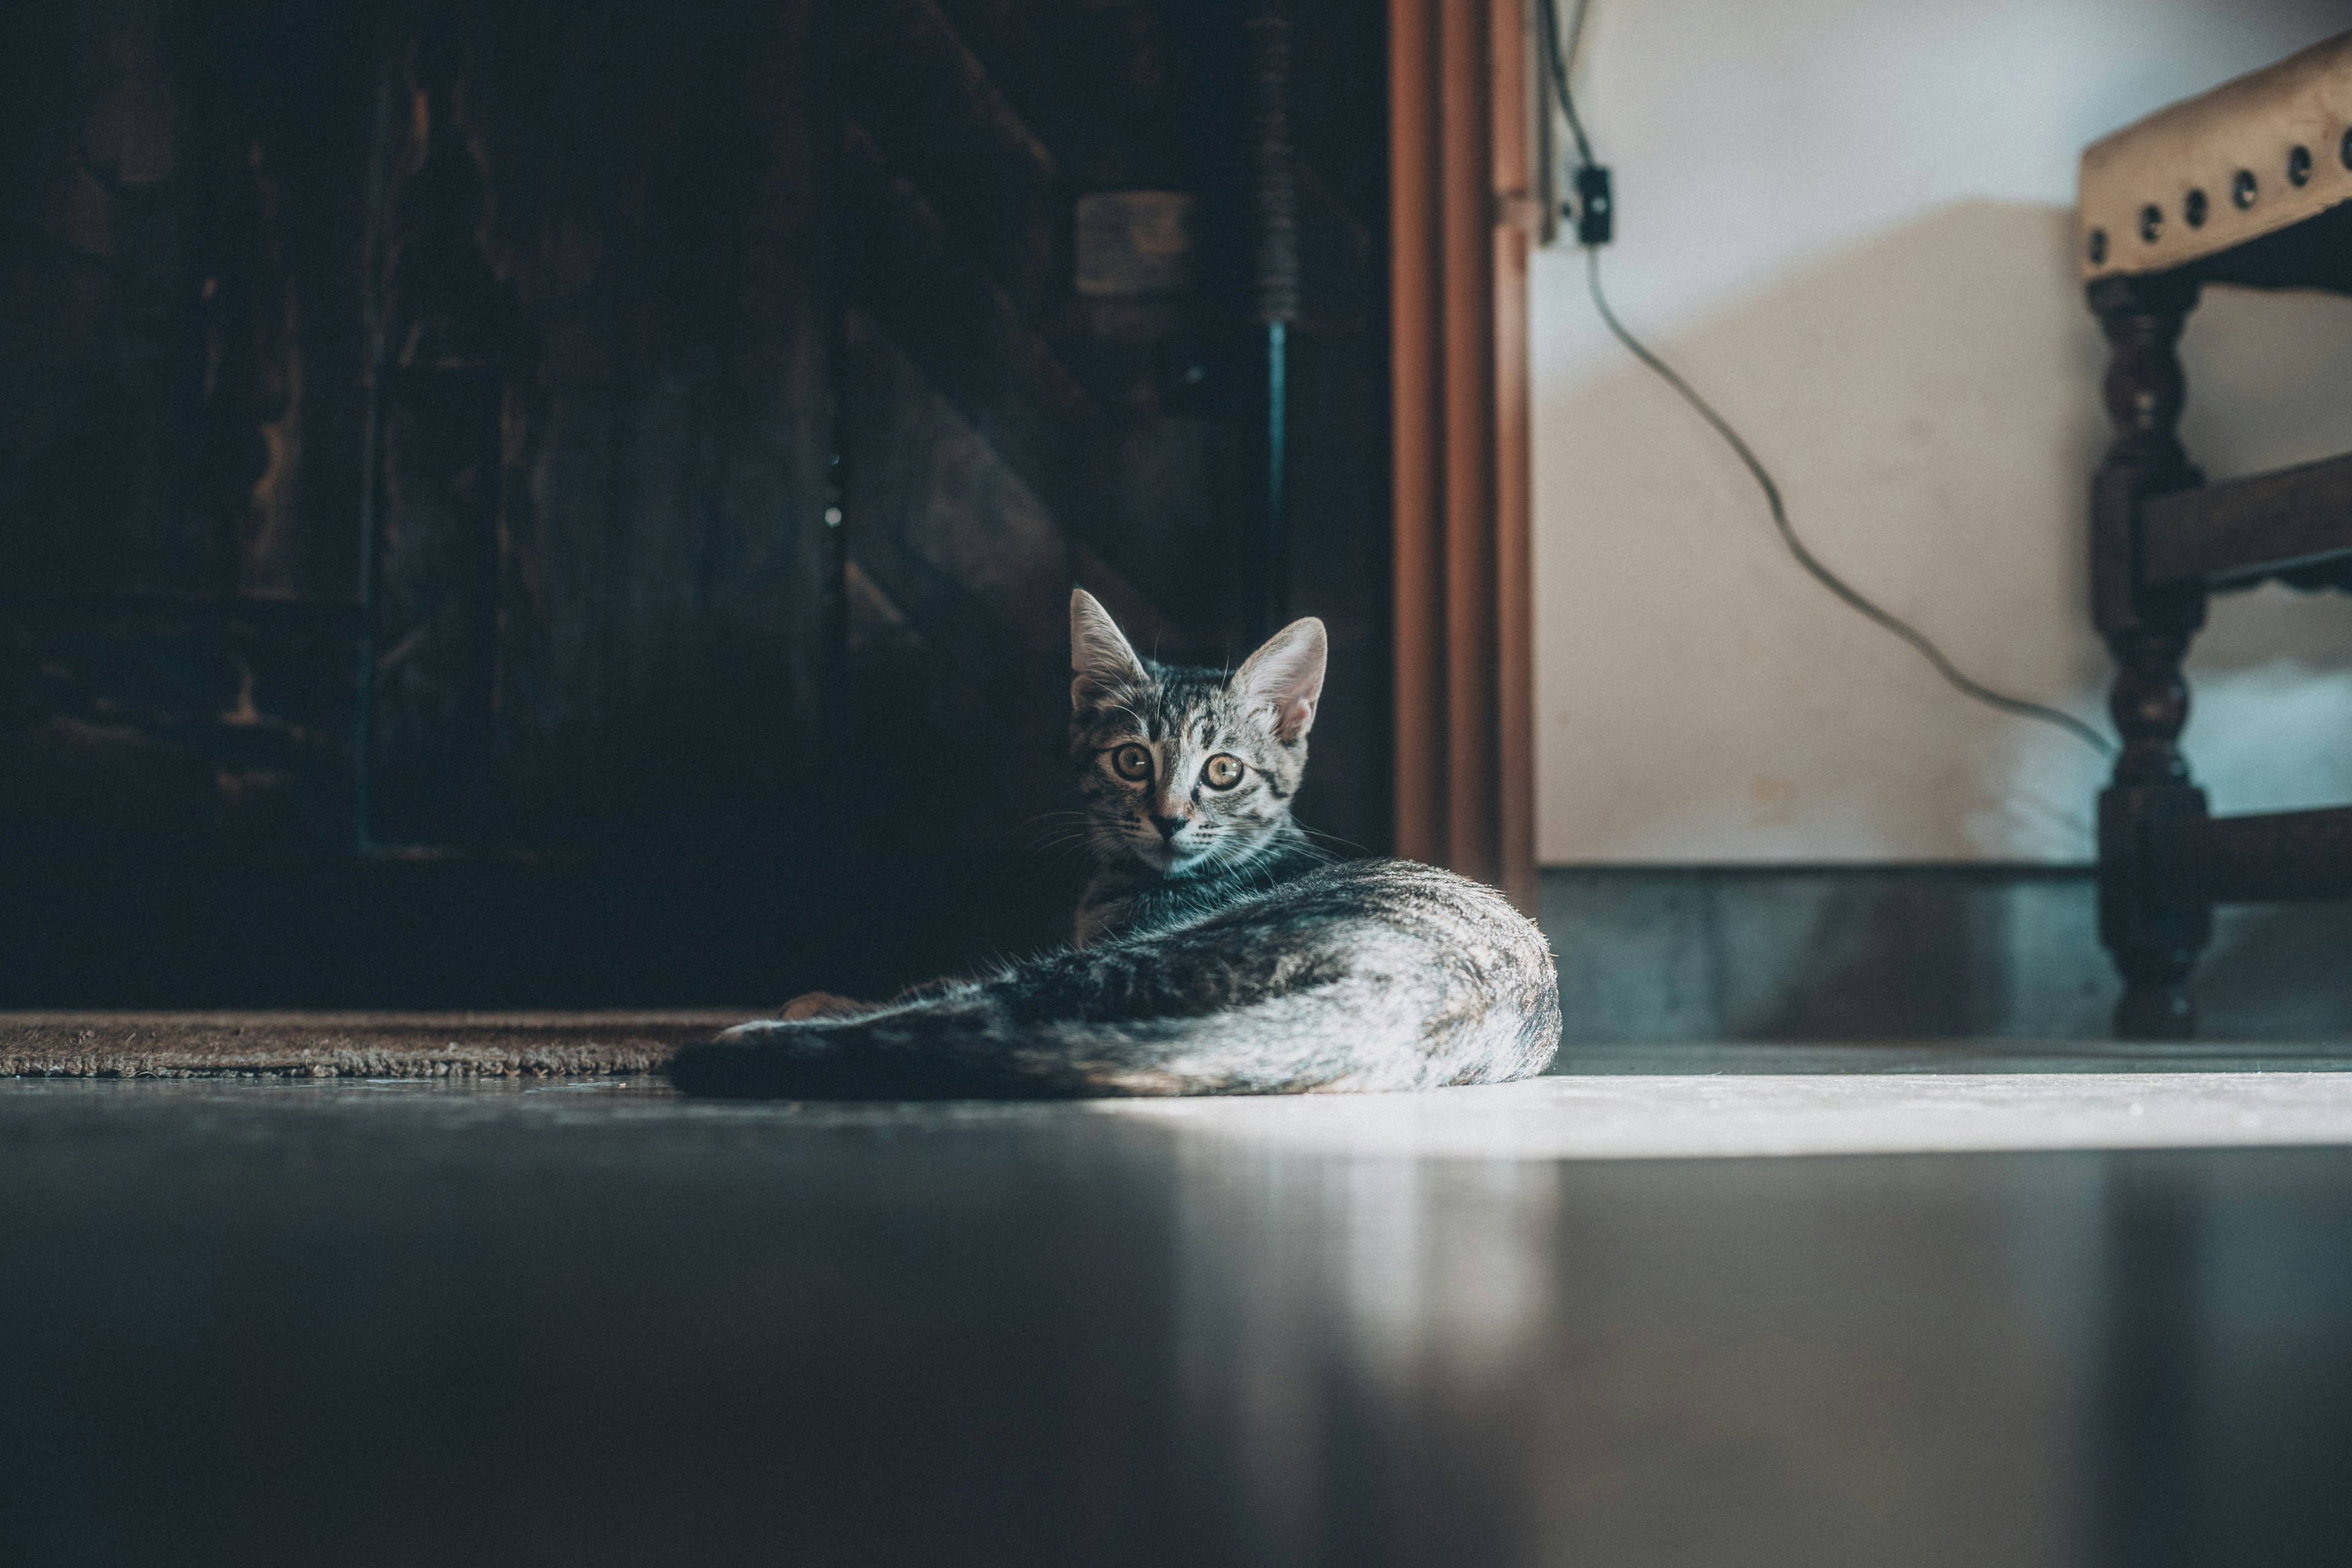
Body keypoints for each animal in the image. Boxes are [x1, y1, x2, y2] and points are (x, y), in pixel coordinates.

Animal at [668, 592, 1561, 1104]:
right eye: (1133, 761)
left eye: (1223, 771)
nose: (1168, 817)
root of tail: (1417, 1003)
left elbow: (934, 978)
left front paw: (824, 996)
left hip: (1148, 959)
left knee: (989, 1007)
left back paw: (760, 1035)